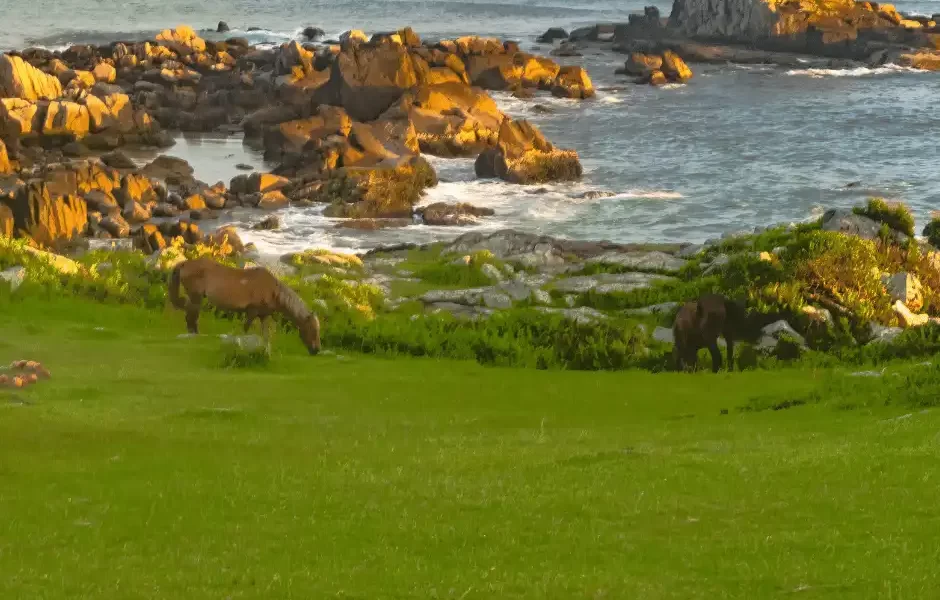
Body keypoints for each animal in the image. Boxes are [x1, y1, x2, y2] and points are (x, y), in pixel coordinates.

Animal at [165, 256, 320, 352]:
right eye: (312, 329)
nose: (316, 350)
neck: (272, 290)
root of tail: (184, 263)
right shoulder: (251, 312)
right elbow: (245, 330)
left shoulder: (263, 315)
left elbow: (265, 335)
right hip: (195, 297)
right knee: (191, 318)